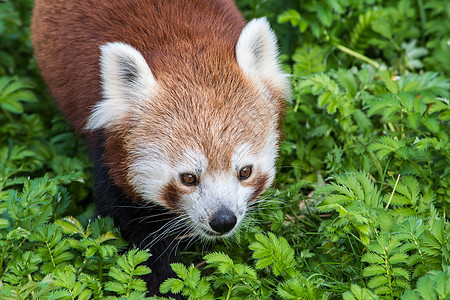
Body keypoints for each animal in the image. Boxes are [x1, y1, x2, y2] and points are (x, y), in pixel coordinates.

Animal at [32, 0, 292, 296]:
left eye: (245, 172)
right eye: (188, 178)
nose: (223, 220)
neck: (183, 48)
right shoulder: (109, 155)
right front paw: (159, 286)